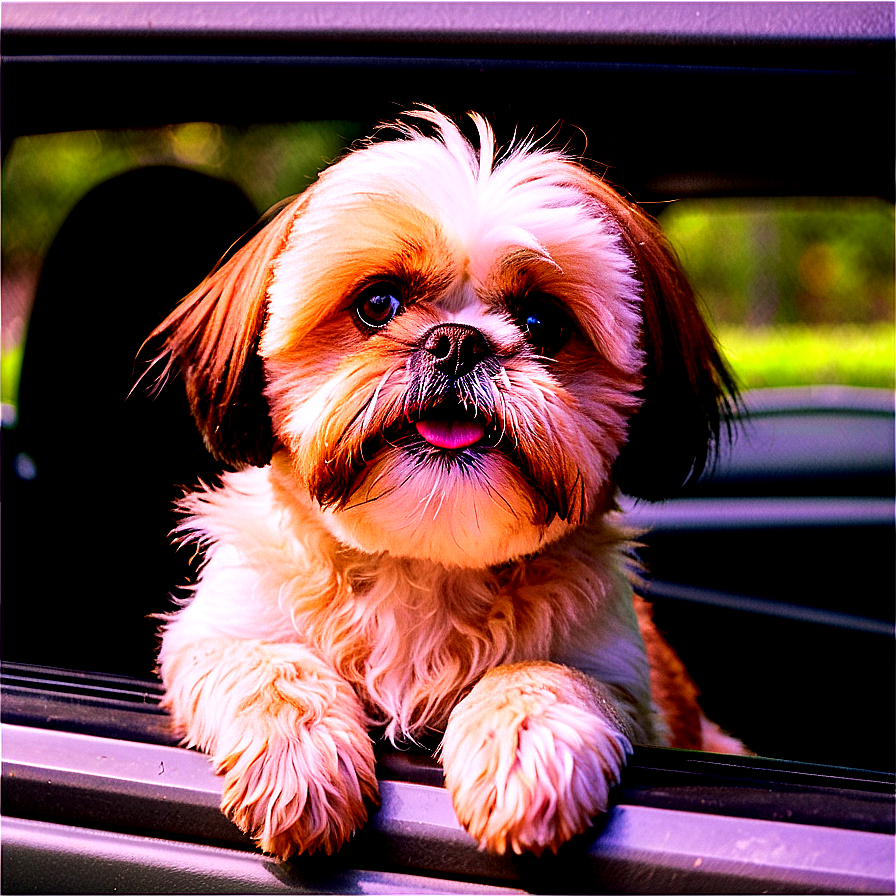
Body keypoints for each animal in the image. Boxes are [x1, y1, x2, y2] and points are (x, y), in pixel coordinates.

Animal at [149, 108, 744, 856]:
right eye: (378, 304)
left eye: (542, 322)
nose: (459, 340)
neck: (423, 566)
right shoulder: (218, 631)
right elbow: (268, 664)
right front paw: (297, 756)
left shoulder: (617, 673)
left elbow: (547, 672)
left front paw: (525, 742)